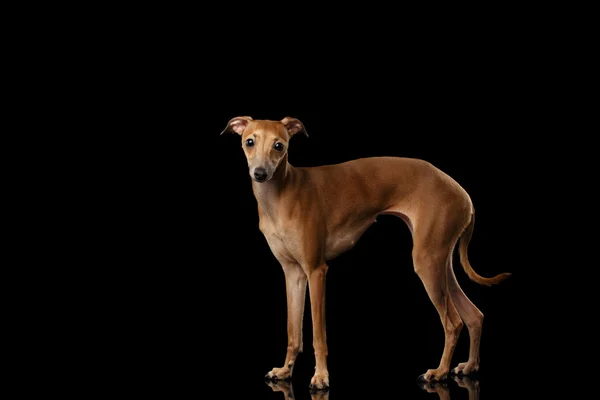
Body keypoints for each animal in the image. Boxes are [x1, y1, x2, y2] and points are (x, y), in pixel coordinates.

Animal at [220, 115, 510, 388]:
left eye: (279, 145)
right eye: (249, 142)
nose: (260, 173)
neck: (281, 194)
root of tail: (463, 194)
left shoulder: (316, 271)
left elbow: (318, 334)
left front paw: (321, 377)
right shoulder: (293, 274)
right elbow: (294, 332)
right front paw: (285, 371)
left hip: (428, 263)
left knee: (453, 323)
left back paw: (439, 372)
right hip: (440, 261)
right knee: (474, 315)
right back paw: (469, 366)